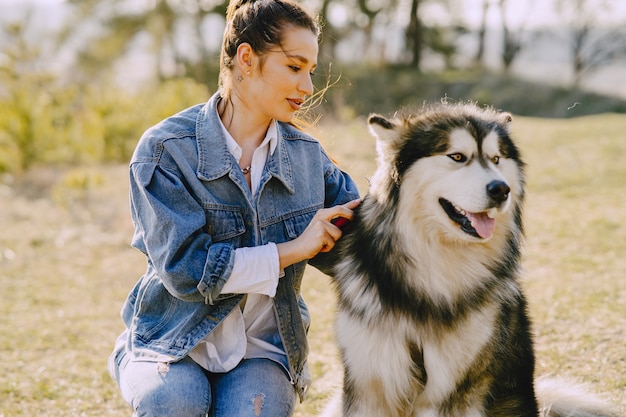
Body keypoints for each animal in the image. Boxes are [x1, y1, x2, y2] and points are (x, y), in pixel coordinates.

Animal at [322, 101, 616, 416]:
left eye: (496, 158)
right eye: (457, 156)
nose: (501, 190)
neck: (434, 269)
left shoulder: (457, 390)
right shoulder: (370, 385)